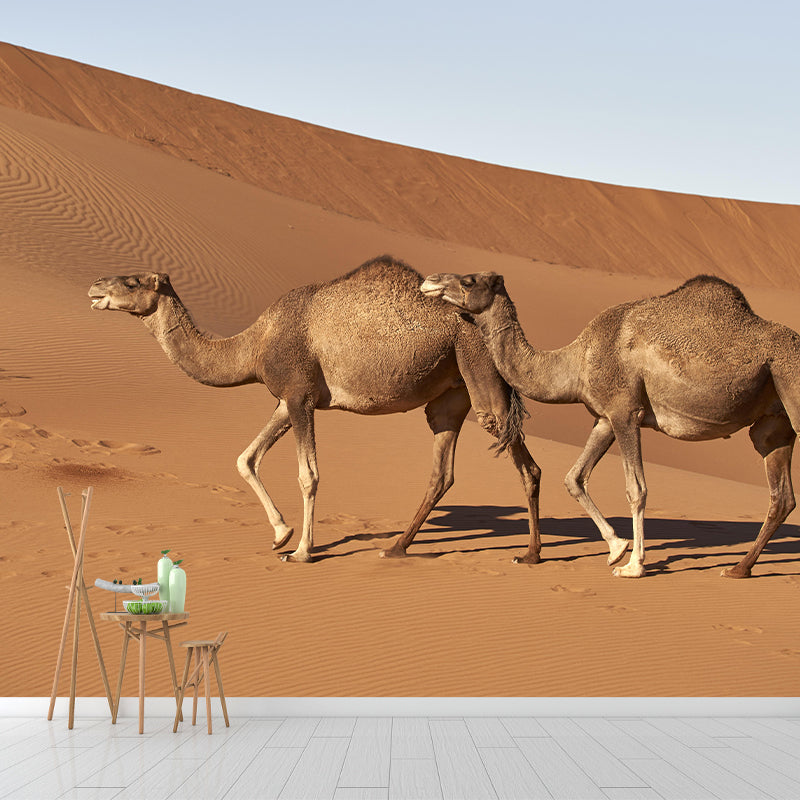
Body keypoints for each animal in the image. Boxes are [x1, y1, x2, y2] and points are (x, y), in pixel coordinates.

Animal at [88, 256, 542, 563]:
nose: (95, 287)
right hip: (452, 392)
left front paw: (302, 551)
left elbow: (308, 475)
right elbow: (245, 458)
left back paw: (532, 554)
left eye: (132, 281)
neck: (252, 345)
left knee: (524, 462)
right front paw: (280, 534)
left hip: (481, 374)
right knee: (442, 471)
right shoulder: (286, 398)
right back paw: (396, 548)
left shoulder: (300, 396)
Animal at [420, 270, 800, 578]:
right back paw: (738, 569)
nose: (430, 281)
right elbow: (574, 478)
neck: (575, 360)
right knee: (781, 496)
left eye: (468, 280)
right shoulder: (603, 418)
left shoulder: (625, 412)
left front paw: (634, 566)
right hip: (773, 423)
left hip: (790, 384)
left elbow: (636, 488)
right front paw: (617, 548)